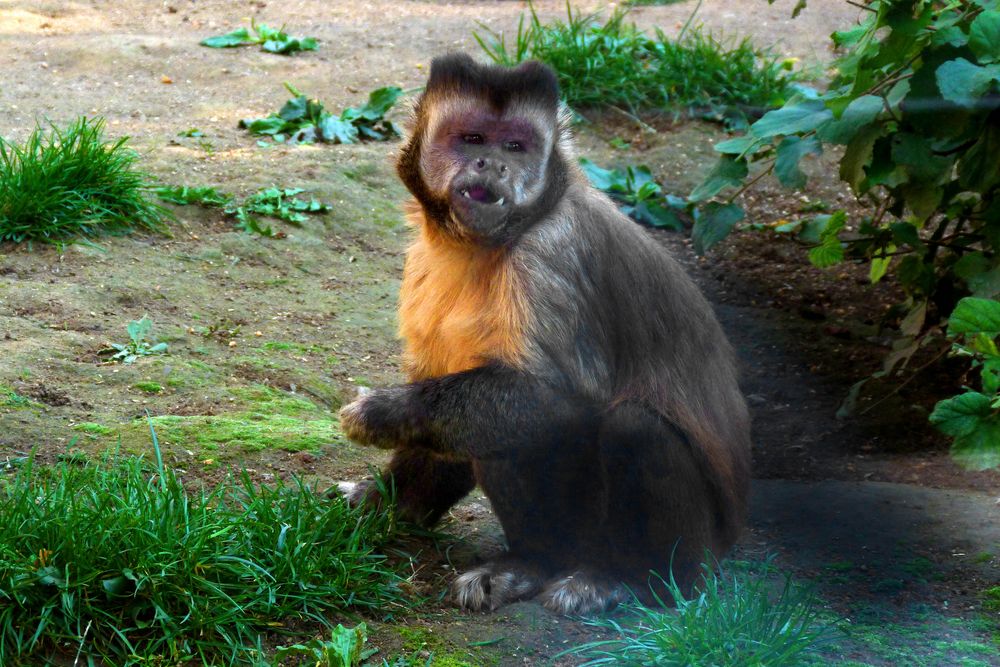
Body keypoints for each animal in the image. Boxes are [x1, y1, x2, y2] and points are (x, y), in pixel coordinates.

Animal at [336, 52, 752, 616]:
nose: (492, 165)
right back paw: (527, 564)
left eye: (515, 146)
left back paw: (631, 581)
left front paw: (383, 412)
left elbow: (565, 402)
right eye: (472, 139)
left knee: (629, 427)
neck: (488, 242)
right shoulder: (424, 259)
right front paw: (386, 504)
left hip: (690, 548)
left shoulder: (551, 254)